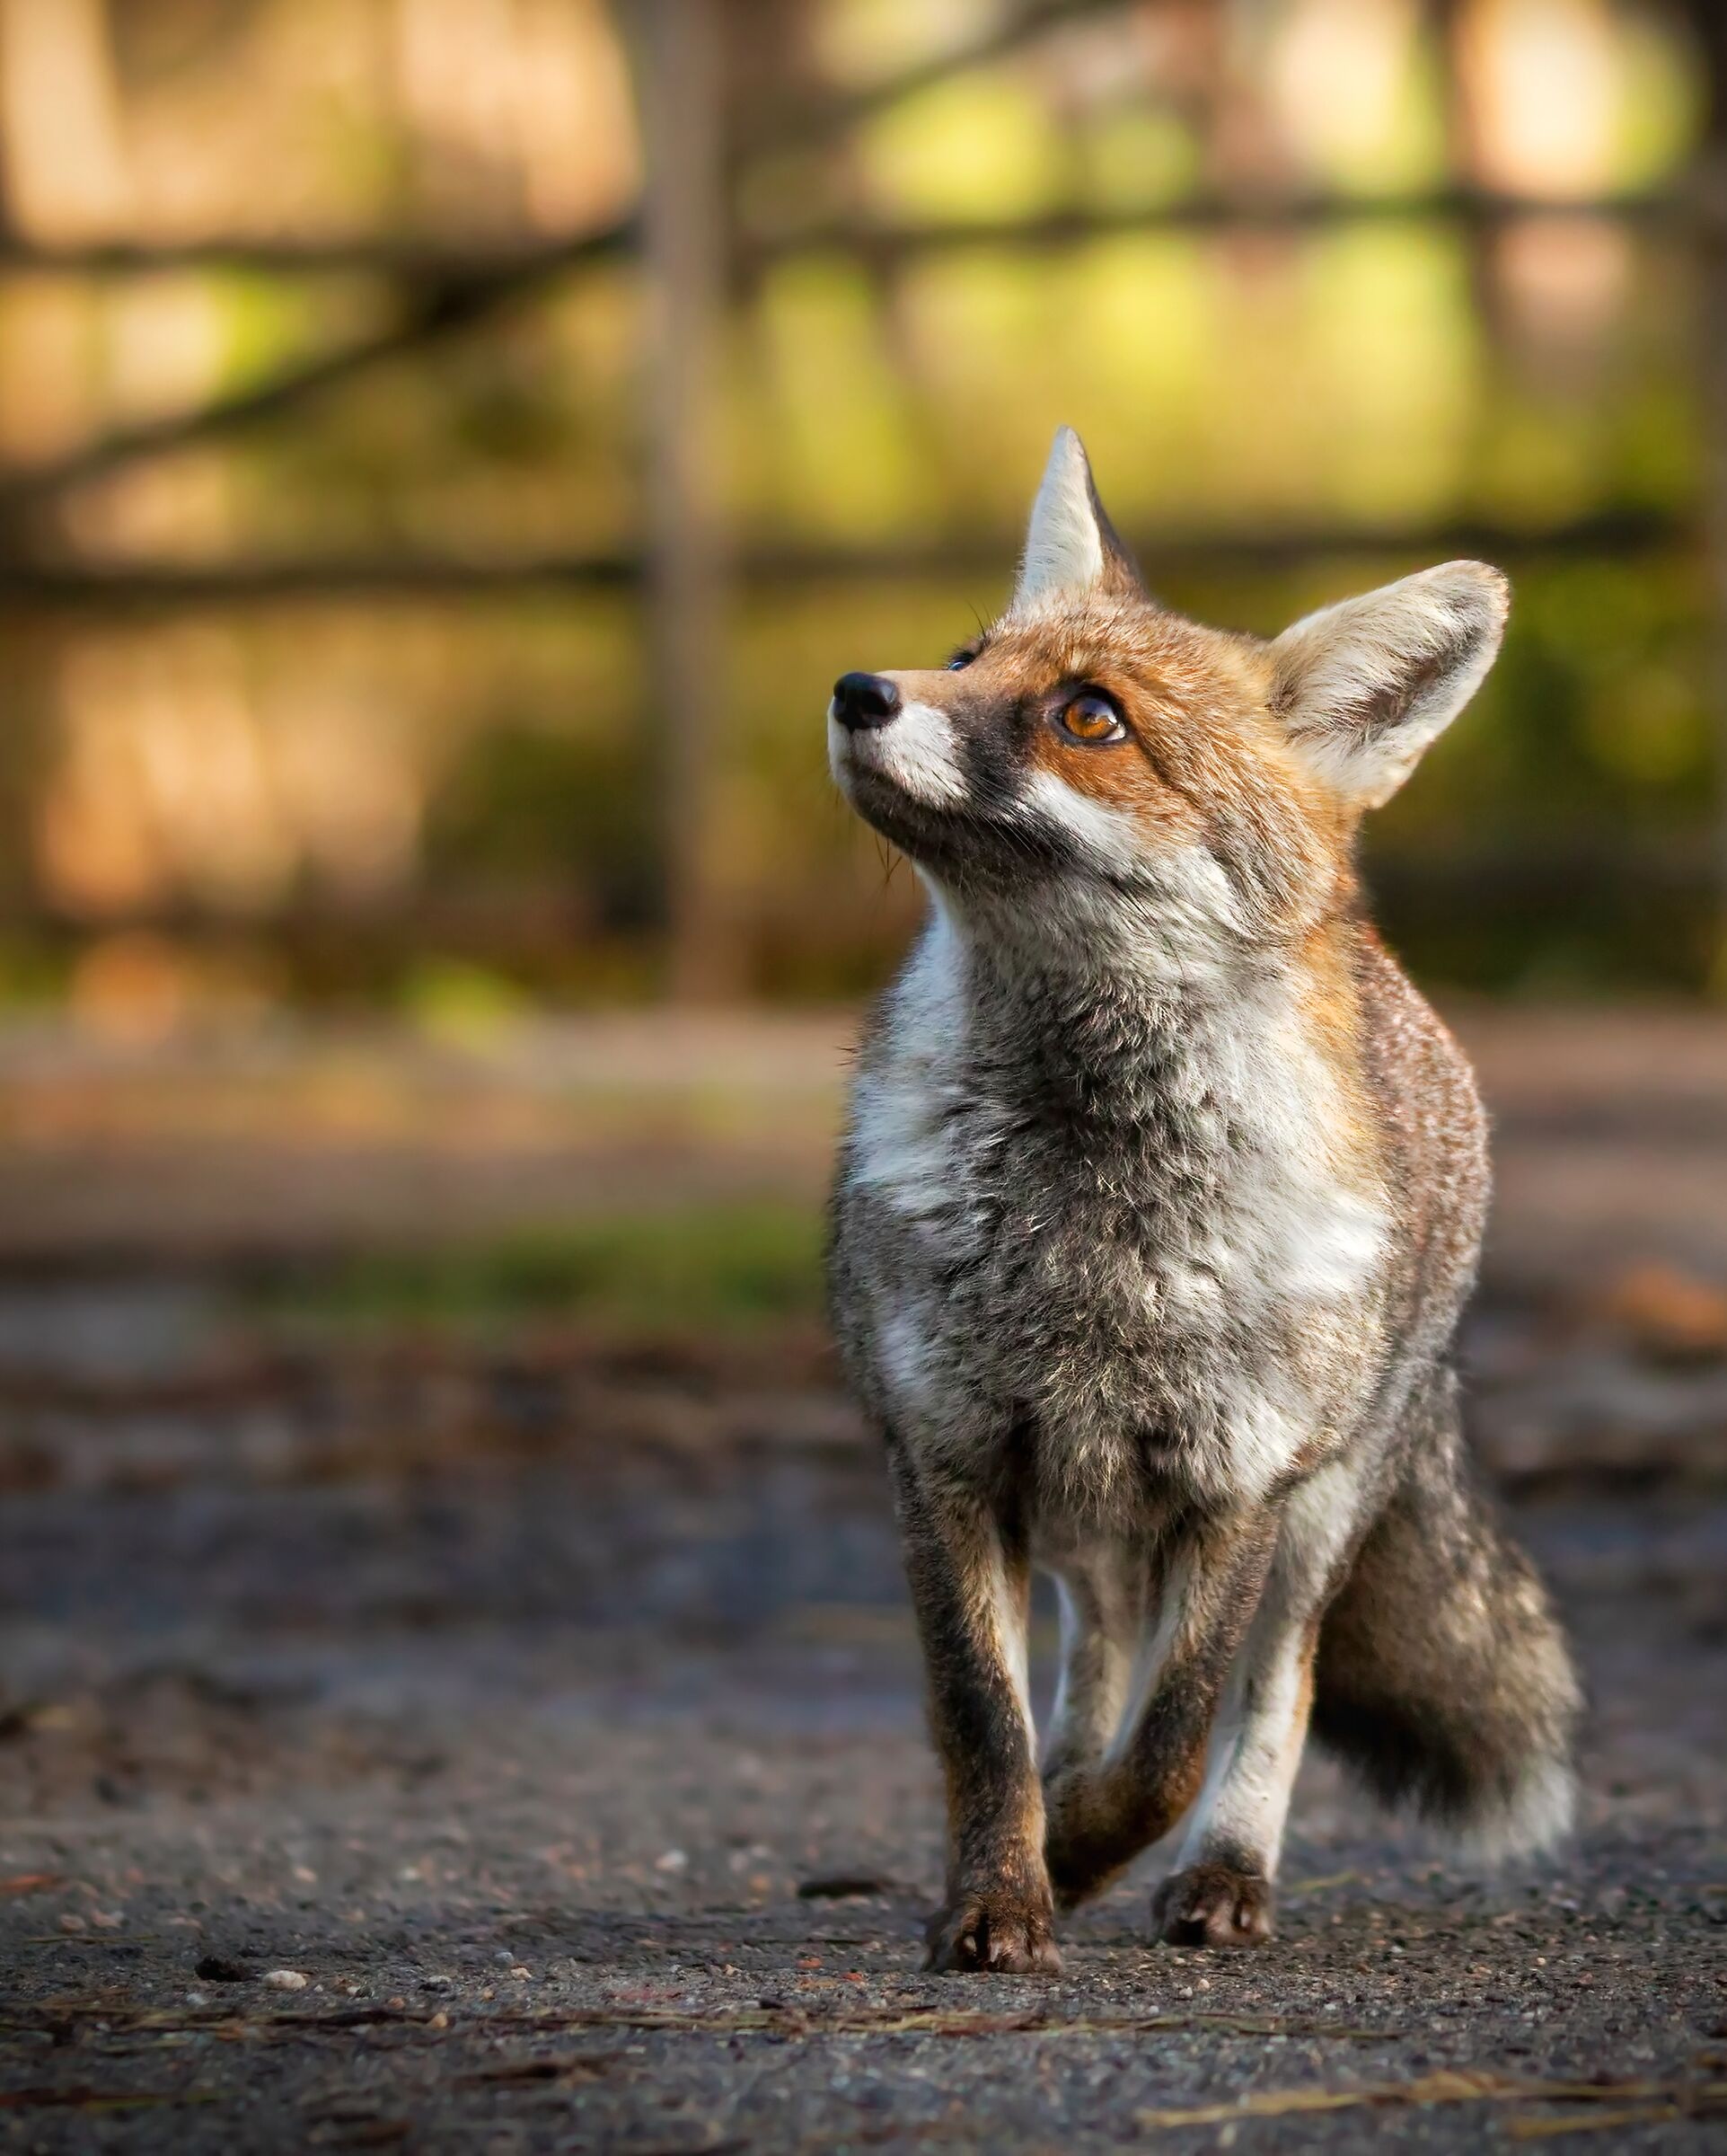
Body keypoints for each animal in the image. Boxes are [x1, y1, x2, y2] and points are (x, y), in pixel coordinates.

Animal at [825, 429, 1579, 1974]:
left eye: (1088, 717)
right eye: (965, 658)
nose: (858, 690)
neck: (1089, 1220)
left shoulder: (1234, 1485)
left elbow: (1174, 1749)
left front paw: (1084, 1860)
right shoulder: (944, 1457)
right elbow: (983, 1726)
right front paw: (1000, 1892)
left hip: (1316, 1513)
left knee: (1271, 1697)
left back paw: (1221, 1876)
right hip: (1079, 1515)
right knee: (1087, 1670)